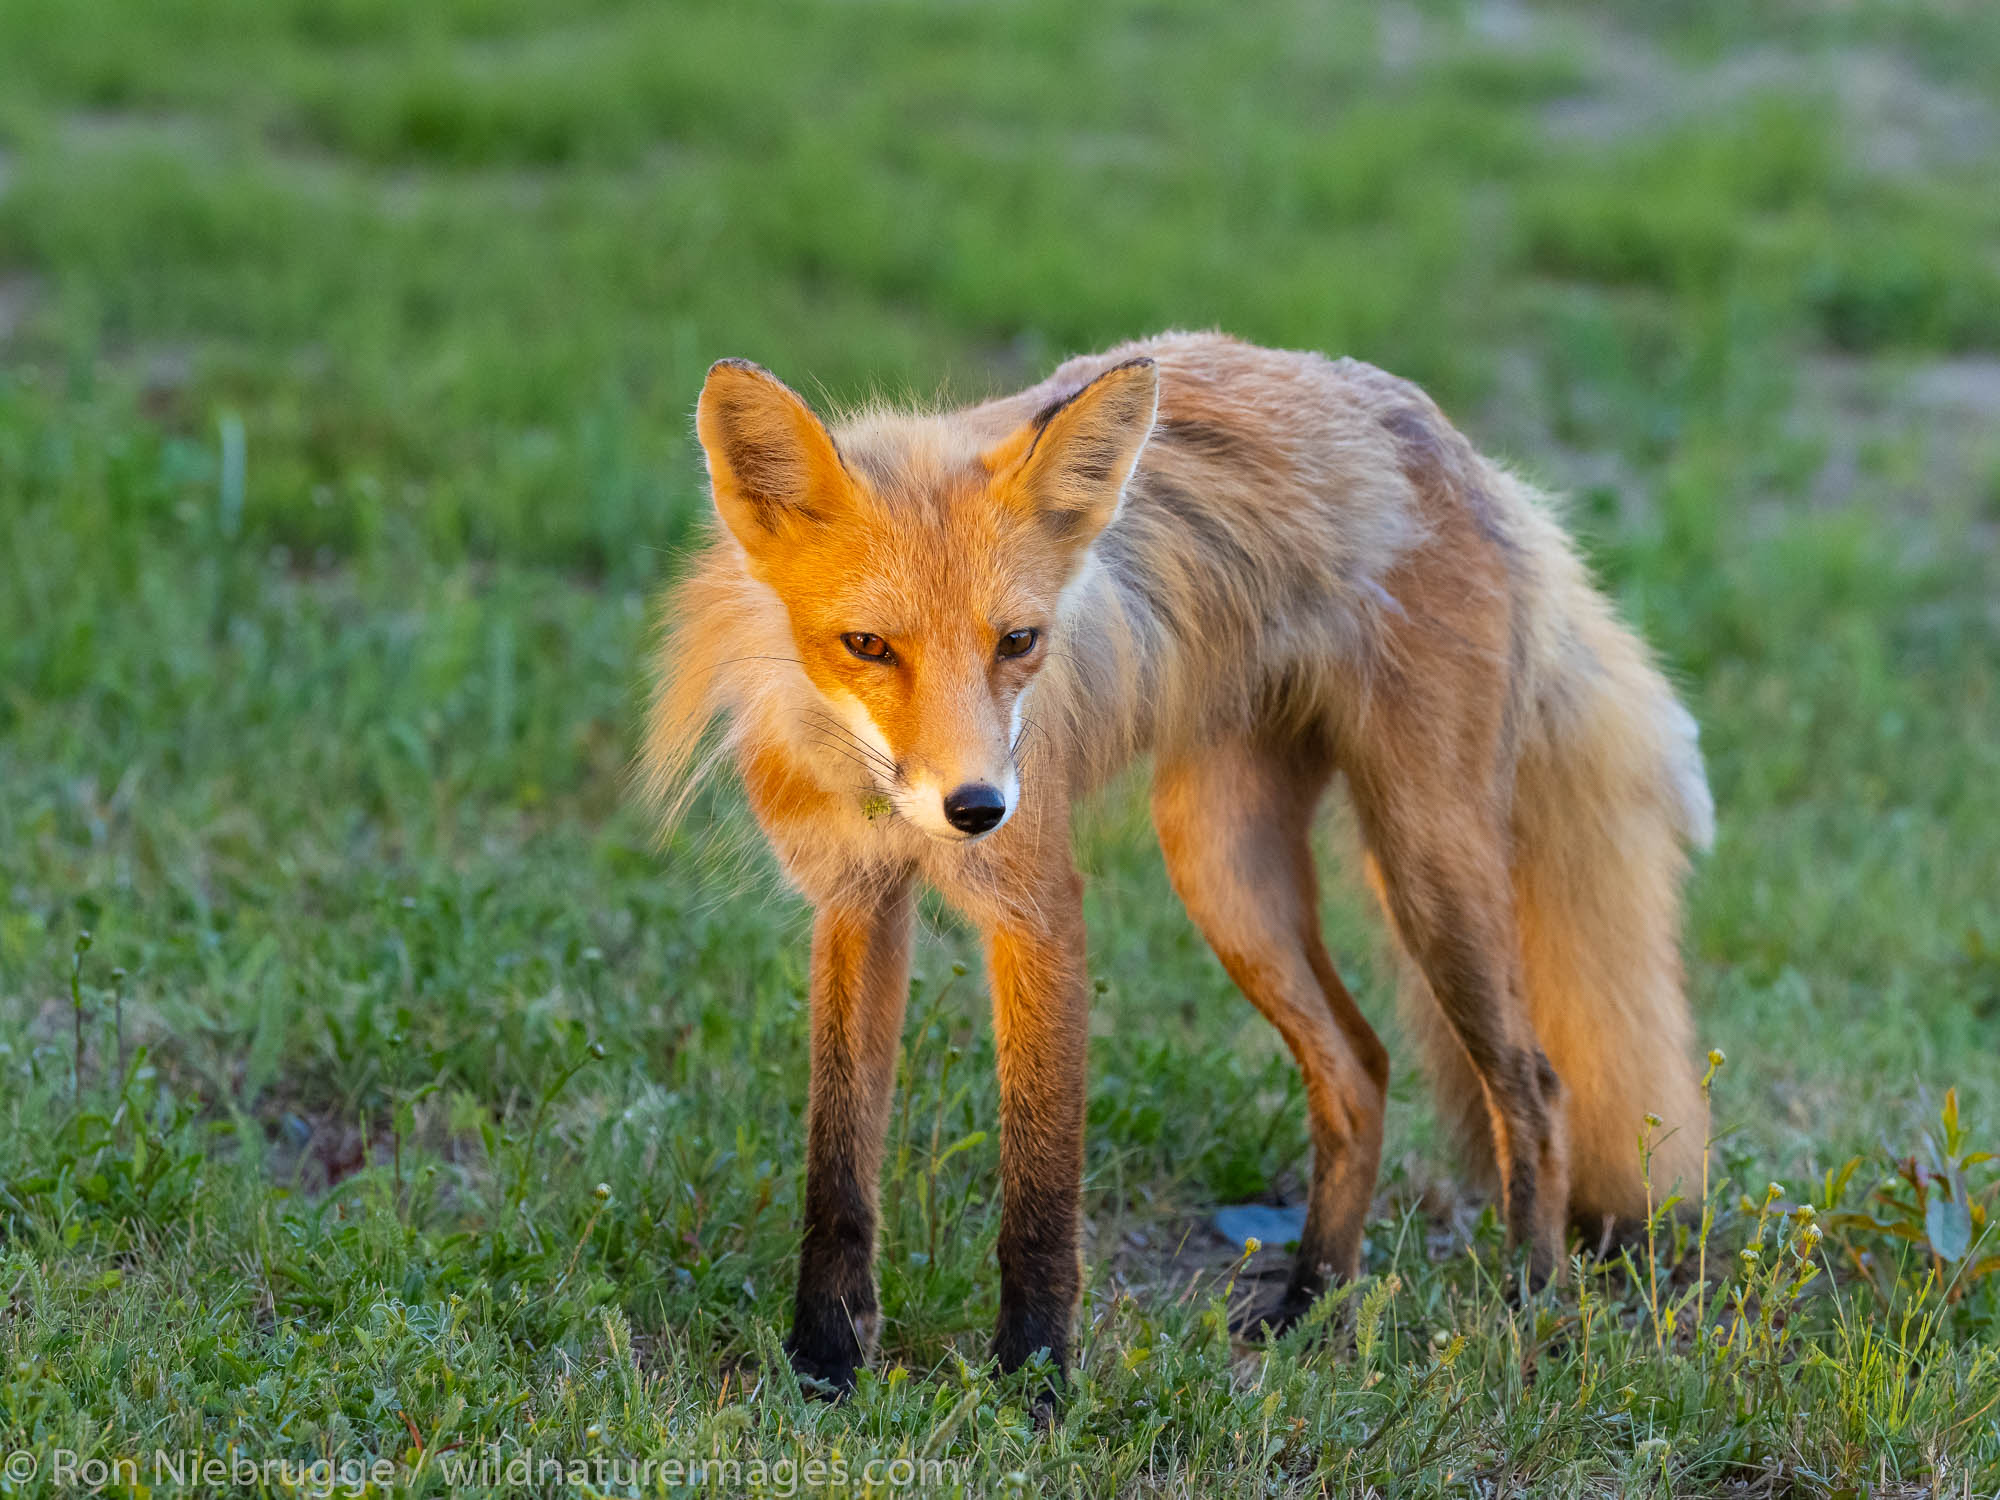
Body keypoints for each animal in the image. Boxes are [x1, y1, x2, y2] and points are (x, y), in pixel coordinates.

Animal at [648, 332, 1712, 1400]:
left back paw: (1532, 1307)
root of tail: (1446, 441)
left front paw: (1036, 1383)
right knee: (1361, 1068)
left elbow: (1040, 1188)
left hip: (1426, 865)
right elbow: (836, 1169)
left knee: (1534, 1084)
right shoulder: (855, 902)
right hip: (1227, 872)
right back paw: (1311, 1303)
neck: (874, 792)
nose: (978, 809)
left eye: (1018, 642)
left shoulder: (1038, 907)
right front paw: (823, 1361)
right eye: (867, 645)